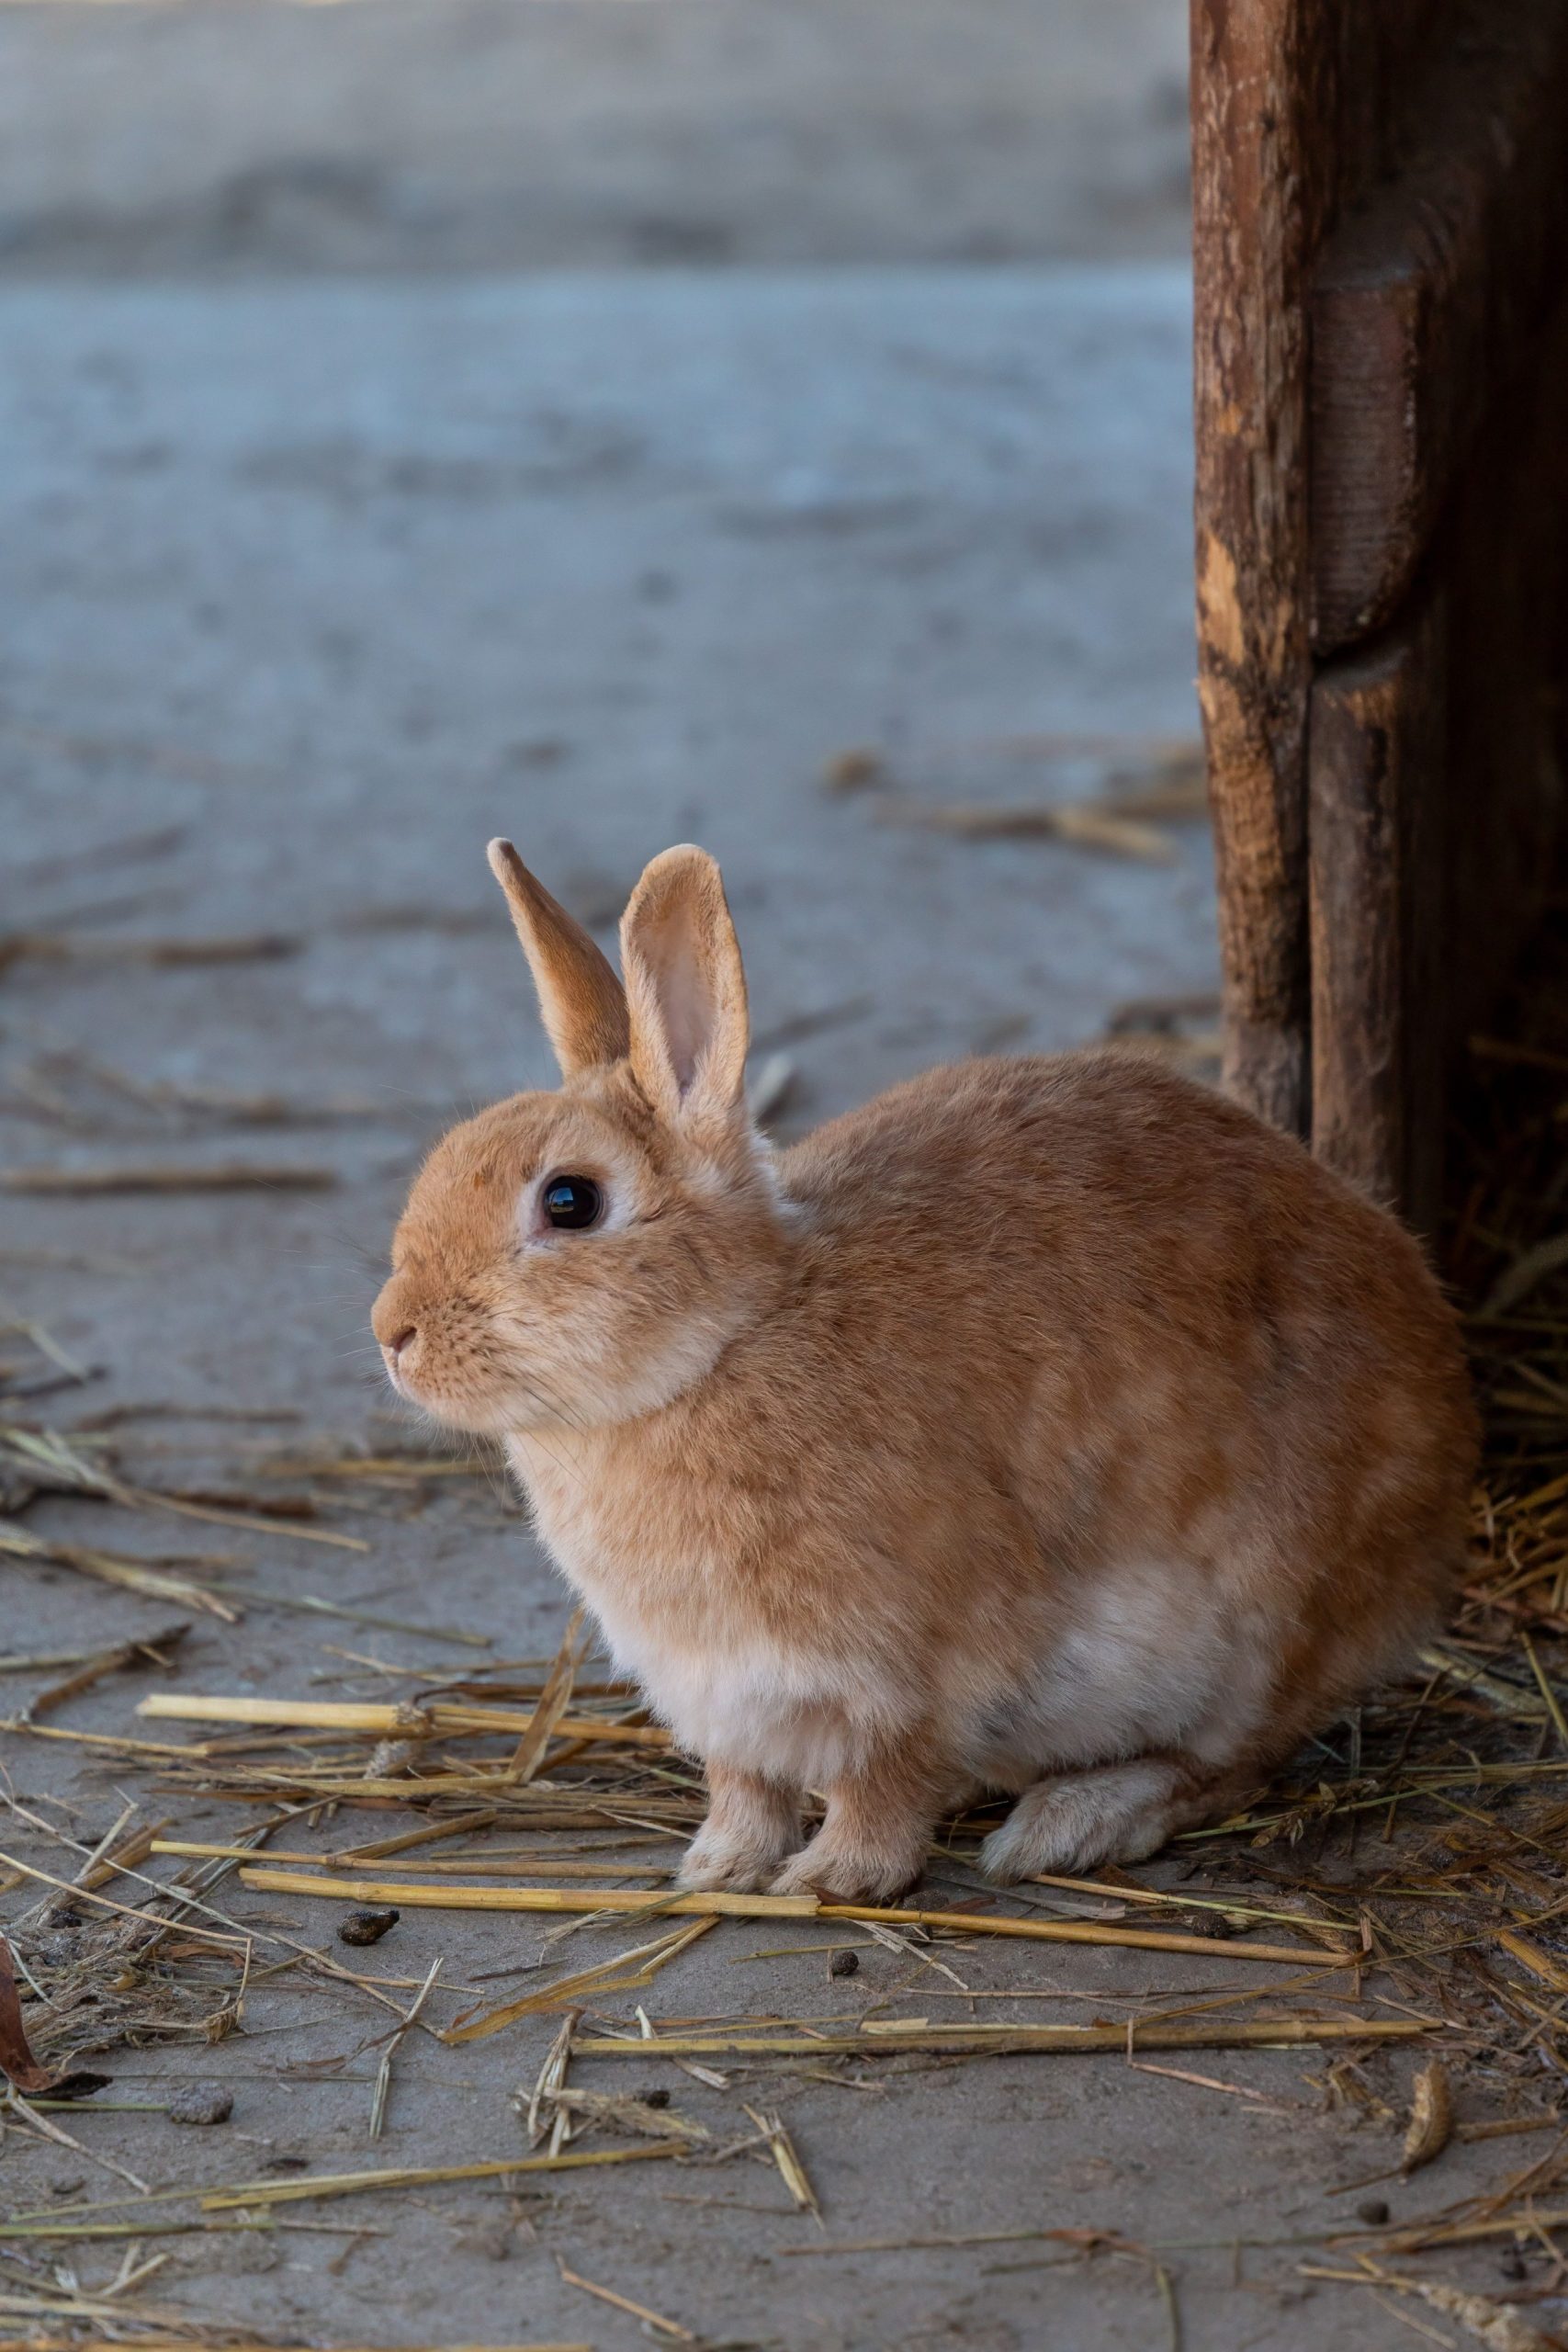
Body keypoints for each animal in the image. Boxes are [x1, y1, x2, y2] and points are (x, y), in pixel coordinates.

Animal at [371, 838, 1477, 1904]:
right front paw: (719, 1868)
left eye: (569, 1201)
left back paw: (1069, 1823)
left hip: (1258, 1628)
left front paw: (837, 1877)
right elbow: (744, 1787)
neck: (726, 1342)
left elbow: (884, 1780)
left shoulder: (911, 1671)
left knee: (1232, 1762)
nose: (392, 1332)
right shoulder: (720, 1699)